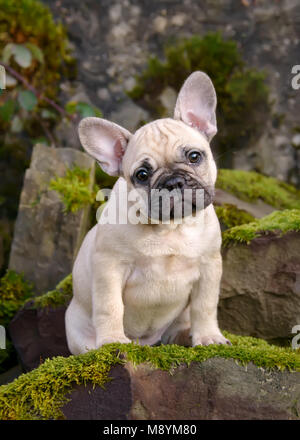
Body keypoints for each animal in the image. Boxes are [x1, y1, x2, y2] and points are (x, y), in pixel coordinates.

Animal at [65, 71, 230, 354]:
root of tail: (146, 343)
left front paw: (209, 336)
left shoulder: (209, 266)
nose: (172, 182)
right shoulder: (109, 267)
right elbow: (110, 306)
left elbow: (205, 306)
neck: (170, 228)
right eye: (142, 175)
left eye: (194, 156)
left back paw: (184, 336)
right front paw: (112, 340)